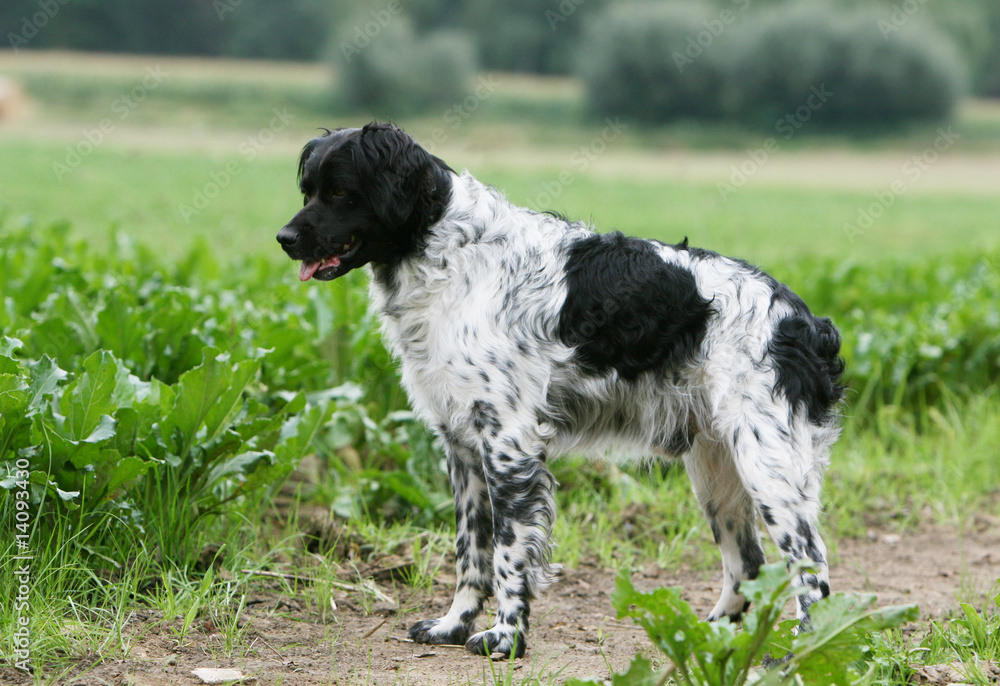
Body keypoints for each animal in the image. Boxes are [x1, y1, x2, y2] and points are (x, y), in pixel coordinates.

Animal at [276, 123, 844, 660]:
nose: (283, 237)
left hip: (767, 467)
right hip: (715, 469)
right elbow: (470, 552)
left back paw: (801, 654)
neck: (450, 254)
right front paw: (453, 625)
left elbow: (507, 554)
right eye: (308, 190)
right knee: (748, 563)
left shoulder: (509, 443)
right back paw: (706, 642)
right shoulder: (462, 446)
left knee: (811, 566)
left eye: (341, 192)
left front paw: (505, 637)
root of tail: (805, 322)